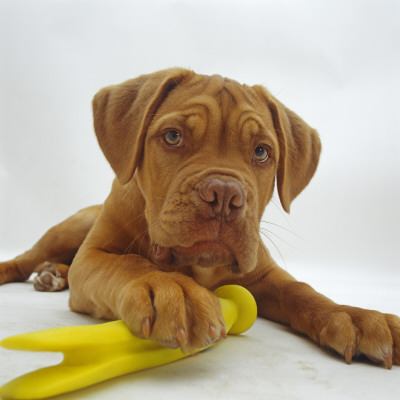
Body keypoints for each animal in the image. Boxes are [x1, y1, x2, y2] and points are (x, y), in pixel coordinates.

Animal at [1, 69, 398, 366]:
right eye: (173, 137)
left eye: (261, 152)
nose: (224, 194)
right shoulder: (93, 256)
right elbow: (128, 263)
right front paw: (170, 289)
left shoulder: (264, 275)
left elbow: (301, 290)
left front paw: (350, 315)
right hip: (71, 229)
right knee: (28, 258)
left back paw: (53, 275)